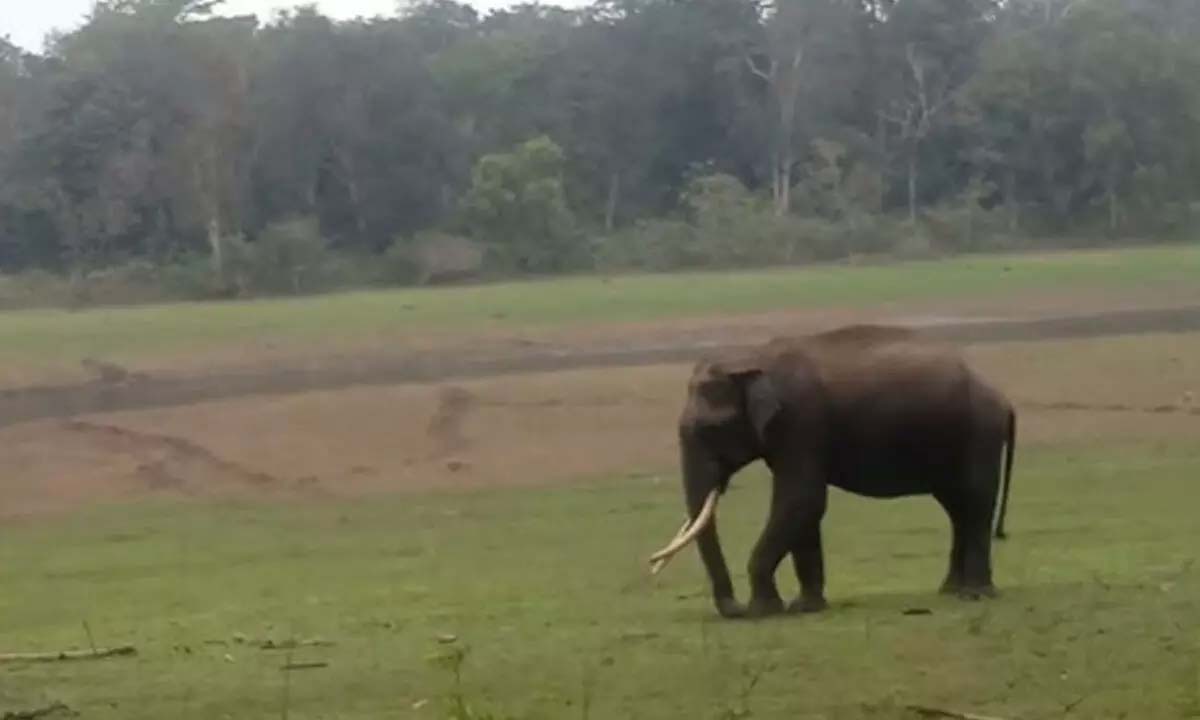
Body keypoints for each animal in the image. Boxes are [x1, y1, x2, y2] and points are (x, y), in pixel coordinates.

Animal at [643, 326, 1017, 619]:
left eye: (712, 429)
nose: (735, 609)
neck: (753, 357)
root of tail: (1002, 397)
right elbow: (803, 509)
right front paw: (805, 607)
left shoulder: (800, 420)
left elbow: (800, 499)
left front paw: (765, 611)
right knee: (957, 508)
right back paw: (951, 590)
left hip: (979, 433)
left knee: (975, 502)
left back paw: (975, 594)